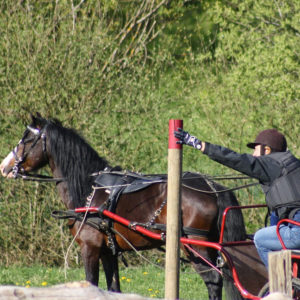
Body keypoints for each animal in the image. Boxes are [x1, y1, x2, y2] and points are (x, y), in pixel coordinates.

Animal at [0, 113, 248, 298]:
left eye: (26, 139)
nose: (5, 166)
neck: (90, 189)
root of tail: (210, 186)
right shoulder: (109, 251)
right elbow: (114, 289)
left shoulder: (90, 248)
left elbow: (91, 284)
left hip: (195, 245)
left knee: (213, 280)